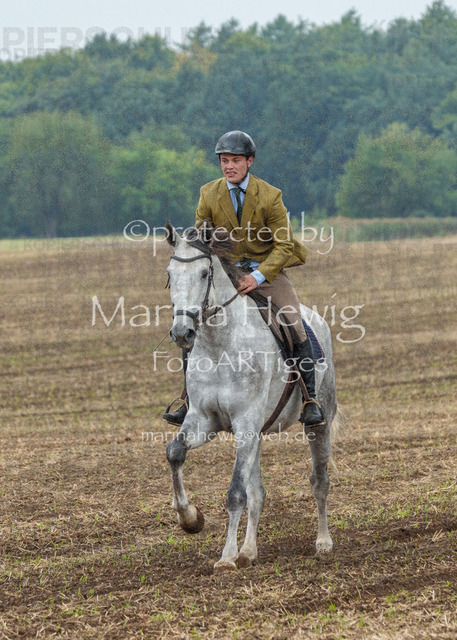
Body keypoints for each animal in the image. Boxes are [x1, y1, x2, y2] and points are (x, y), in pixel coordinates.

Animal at [164, 221, 338, 572]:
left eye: (204, 273)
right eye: (170, 275)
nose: (181, 333)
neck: (219, 346)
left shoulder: (245, 422)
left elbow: (234, 493)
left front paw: (226, 557)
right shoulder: (204, 420)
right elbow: (175, 452)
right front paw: (191, 519)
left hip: (318, 424)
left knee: (319, 481)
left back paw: (323, 542)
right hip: (256, 433)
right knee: (258, 491)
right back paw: (249, 550)